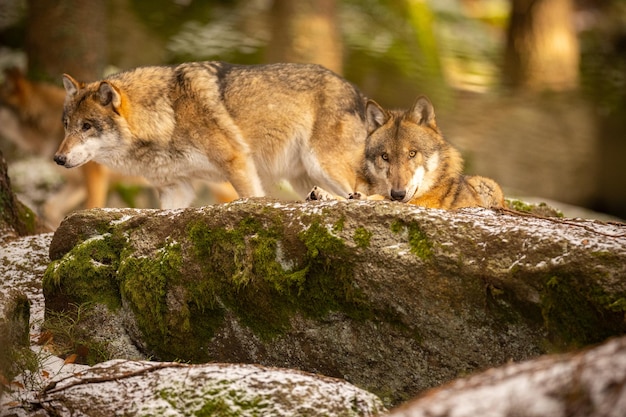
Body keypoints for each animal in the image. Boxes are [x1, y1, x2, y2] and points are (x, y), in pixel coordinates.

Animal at [56, 61, 368, 208]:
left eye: (87, 126)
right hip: (303, 177)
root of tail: (358, 93)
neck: (168, 113)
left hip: (323, 166)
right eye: (67, 125)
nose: (58, 159)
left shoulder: (237, 163)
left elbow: (251, 196)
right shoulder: (176, 187)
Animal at [308, 96, 502, 210]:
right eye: (385, 156)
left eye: (412, 154)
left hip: (487, 184)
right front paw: (324, 195)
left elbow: (377, 198)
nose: (398, 194)